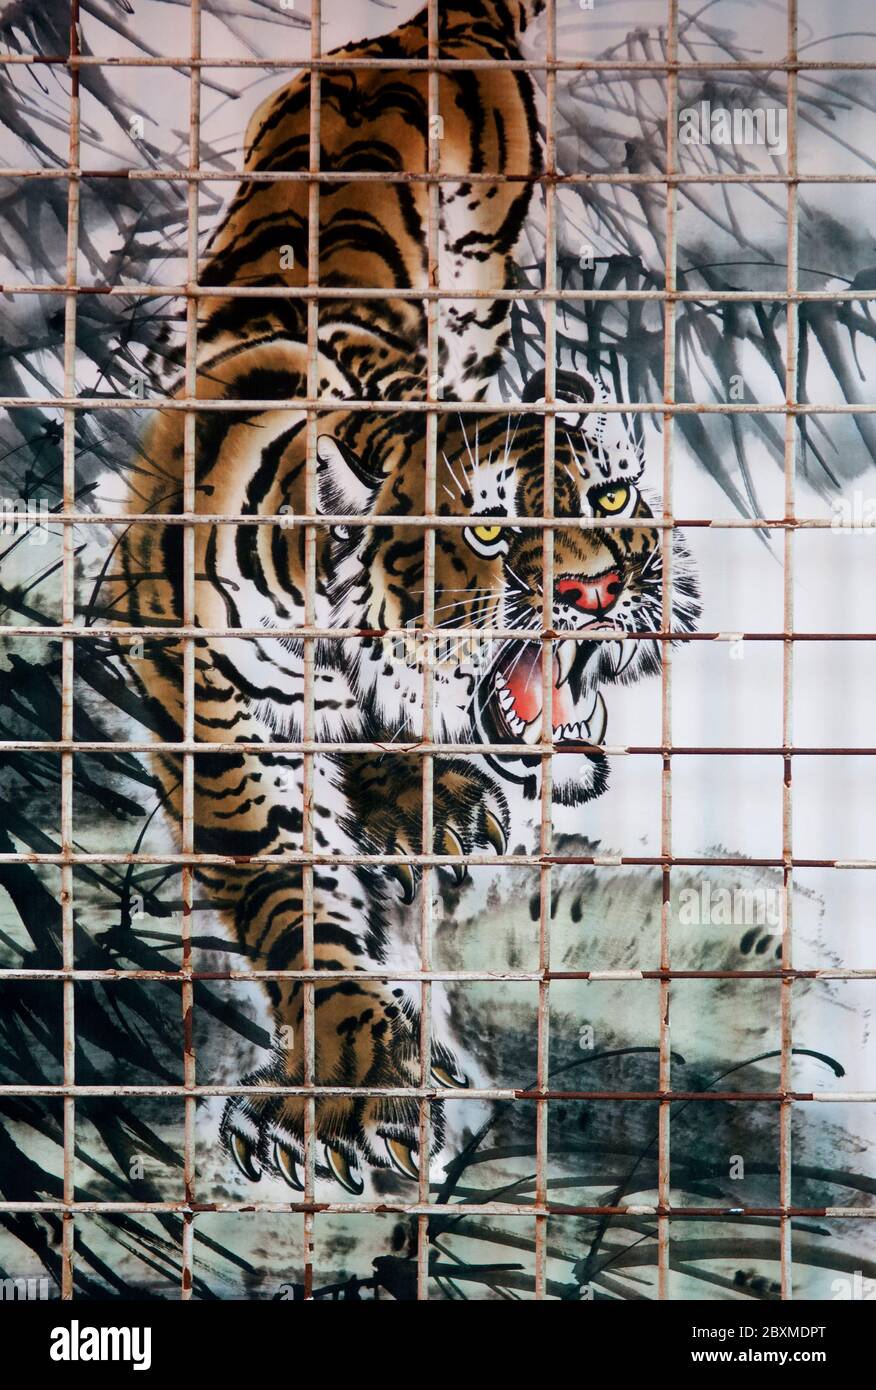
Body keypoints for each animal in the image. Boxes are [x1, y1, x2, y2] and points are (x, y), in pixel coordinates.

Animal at [114, 0, 699, 1197]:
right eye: (488, 530)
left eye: (612, 495)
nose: (600, 586)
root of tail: (423, 25)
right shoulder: (194, 687)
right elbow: (287, 880)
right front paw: (356, 1078)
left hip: (481, 288)